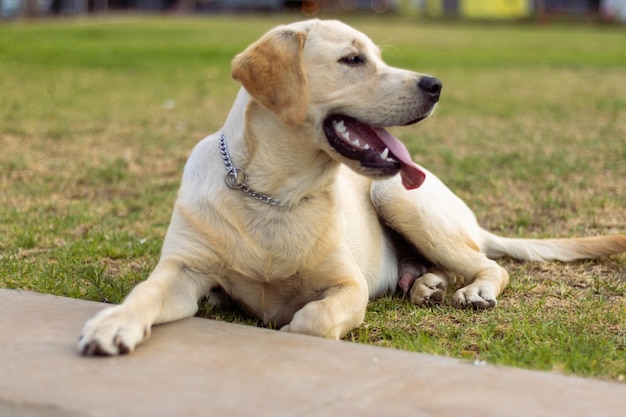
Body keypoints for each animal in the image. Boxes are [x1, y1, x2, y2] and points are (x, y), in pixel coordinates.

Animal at [79, 17, 624, 352]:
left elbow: (312, 319)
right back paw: (425, 286)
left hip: (399, 197)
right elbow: (145, 293)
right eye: (352, 60)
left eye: (377, 57)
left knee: (490, 265)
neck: (273, 194)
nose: (436, 85)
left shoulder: (347, 285)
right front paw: (114, 324)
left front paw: (292, 325)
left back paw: (473, 291)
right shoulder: (183, 270)